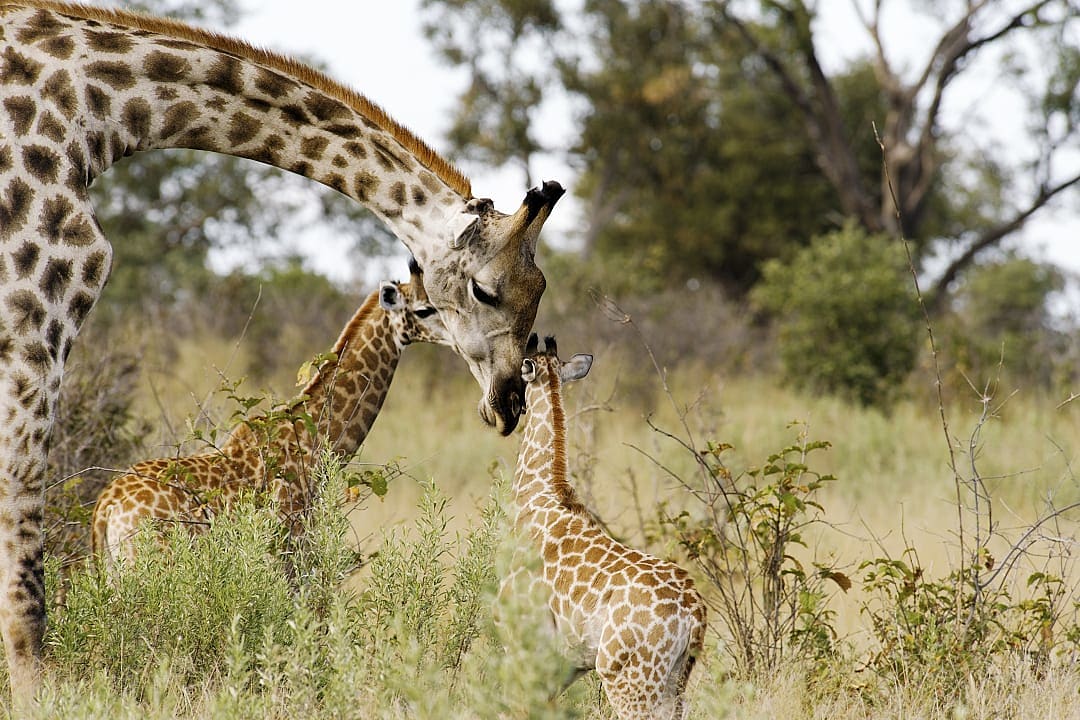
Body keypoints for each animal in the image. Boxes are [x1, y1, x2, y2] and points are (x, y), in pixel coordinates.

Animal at [90, 259, 452, 574]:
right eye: (424, 309)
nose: (460, 339)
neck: (314, 440)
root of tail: (106, 507)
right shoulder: (292, 545)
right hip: (153, 564)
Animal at [506, 335, 707, 720]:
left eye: (519, 380)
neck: (537, 494)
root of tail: (694, 612)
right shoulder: (565, 662)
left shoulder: (525, 640)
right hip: (675, 679)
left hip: (628, 678)